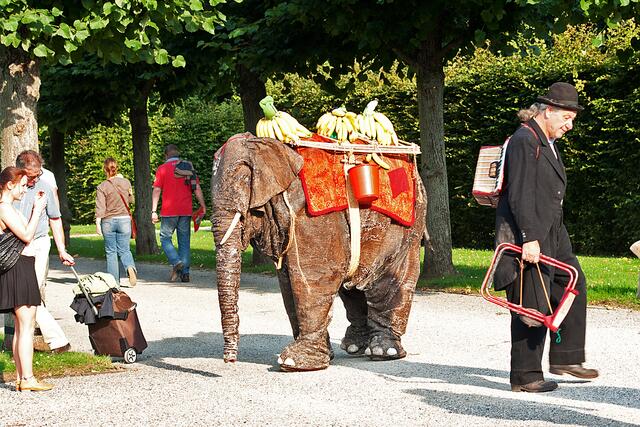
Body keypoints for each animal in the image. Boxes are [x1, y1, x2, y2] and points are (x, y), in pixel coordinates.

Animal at [211, 132, 427, 371]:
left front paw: (293, 363)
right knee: (352, 285)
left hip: (406, 224)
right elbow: (287, 281)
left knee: (388, 279)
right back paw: (354, 347)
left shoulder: (311, 218)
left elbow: (314, 275)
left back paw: (383, 352)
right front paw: (320, 357)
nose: (230, 361)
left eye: (244, 179)